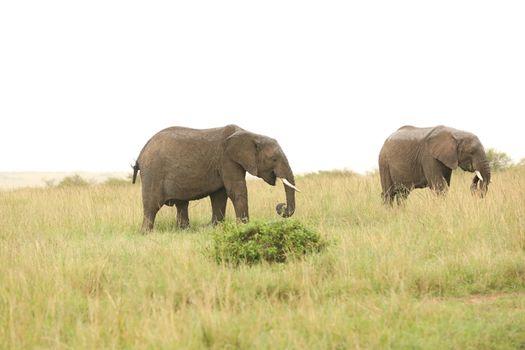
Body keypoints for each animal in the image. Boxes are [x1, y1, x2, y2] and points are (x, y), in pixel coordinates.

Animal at [131, 125, 298, 232]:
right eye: (274, 159)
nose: (281, 206)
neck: (251, 134)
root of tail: (141, 153)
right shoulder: (227, 159)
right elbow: (236, 191)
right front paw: (244, 227)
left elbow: (220, 196)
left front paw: (216, 227)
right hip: (153, 173)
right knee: (152, 205)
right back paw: (146, 233)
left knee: (181, 204)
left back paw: (184, 230)